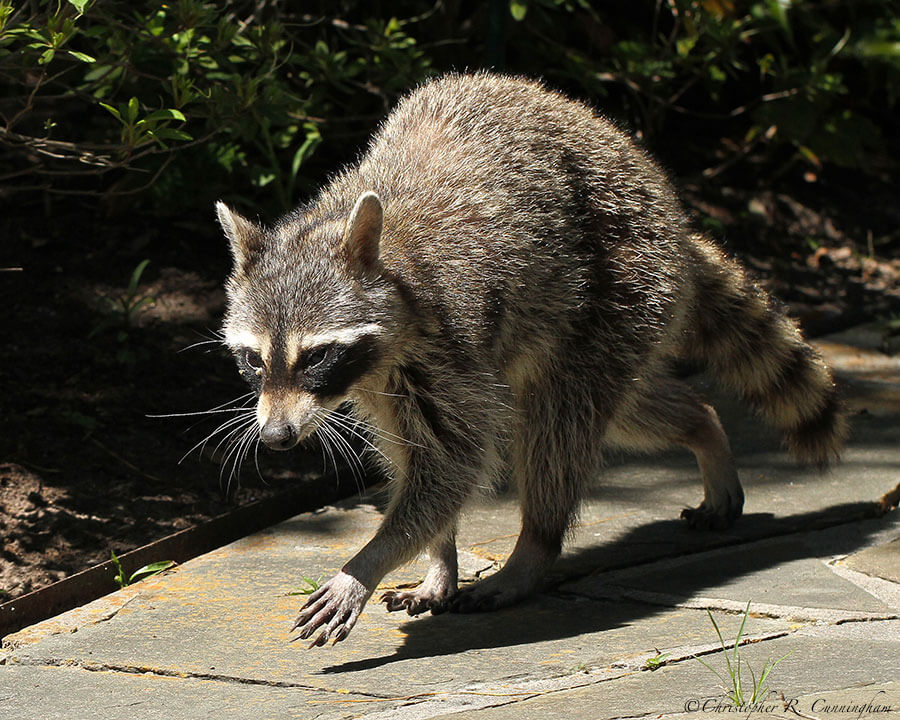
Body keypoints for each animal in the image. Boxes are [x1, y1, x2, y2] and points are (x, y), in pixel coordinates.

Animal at [214, 71, 848, 648]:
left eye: (316, 355)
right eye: (252, 361)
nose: (275, 437)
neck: (388, 267)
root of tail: (672, 214)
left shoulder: (443, 350)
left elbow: (452, 463)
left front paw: (367, 562)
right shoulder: (379, 383)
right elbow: (415, 457)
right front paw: (440, 557)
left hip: (619, 285)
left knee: (560, 423)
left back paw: (534, 548)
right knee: (628, 409)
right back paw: (703, 424)